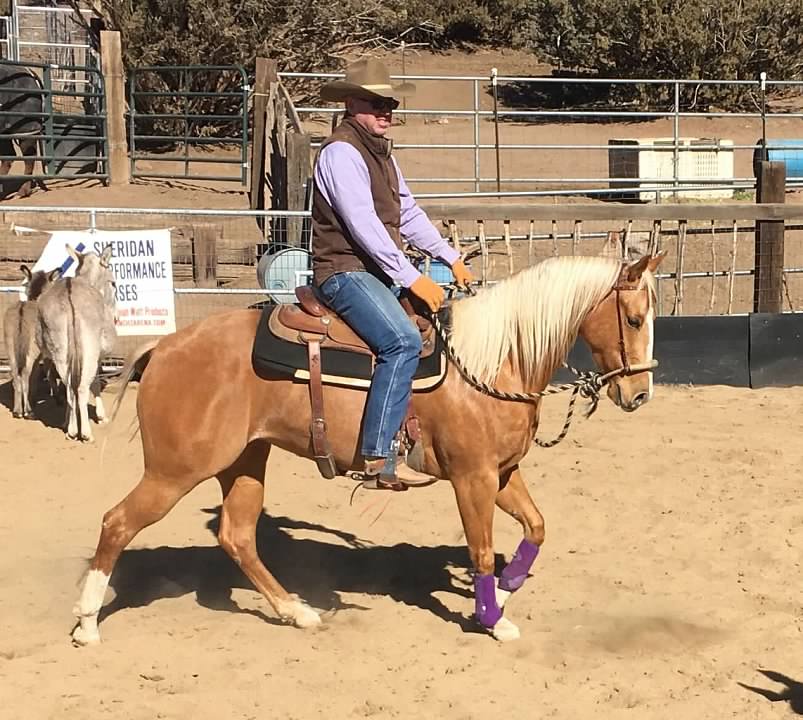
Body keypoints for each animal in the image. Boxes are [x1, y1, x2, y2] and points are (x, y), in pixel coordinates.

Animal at [74, 250, 664, 644]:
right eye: (635, 319)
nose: (639, 394)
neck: (495, 360)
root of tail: (164, 347)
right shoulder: (471, 477)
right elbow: (479, 551)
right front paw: (491, 618)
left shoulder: (502, 472)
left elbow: (537, 527)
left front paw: (506, 590)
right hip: (175, 470)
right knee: (116, 523)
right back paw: (85, 624)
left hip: (243, 462)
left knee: (237, 536)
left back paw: (298, 612)